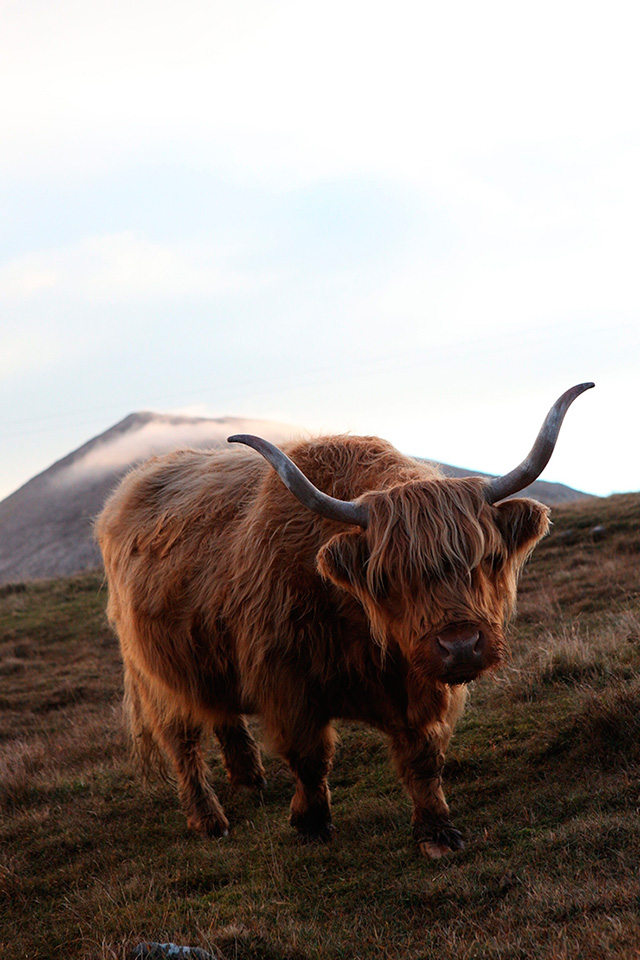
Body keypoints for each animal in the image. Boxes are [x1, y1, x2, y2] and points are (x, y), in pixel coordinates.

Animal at [97, 382, 592, 856]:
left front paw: (436, 831)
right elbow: (310, 756)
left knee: (222, 713)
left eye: (486, 558)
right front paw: (311, 824)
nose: (461, 646)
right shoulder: (286, 681)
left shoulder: (422, 684)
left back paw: (250, 782)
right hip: (153, 672)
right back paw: (209, 820)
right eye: (388, 575)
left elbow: (423, 757)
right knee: (182, 743)